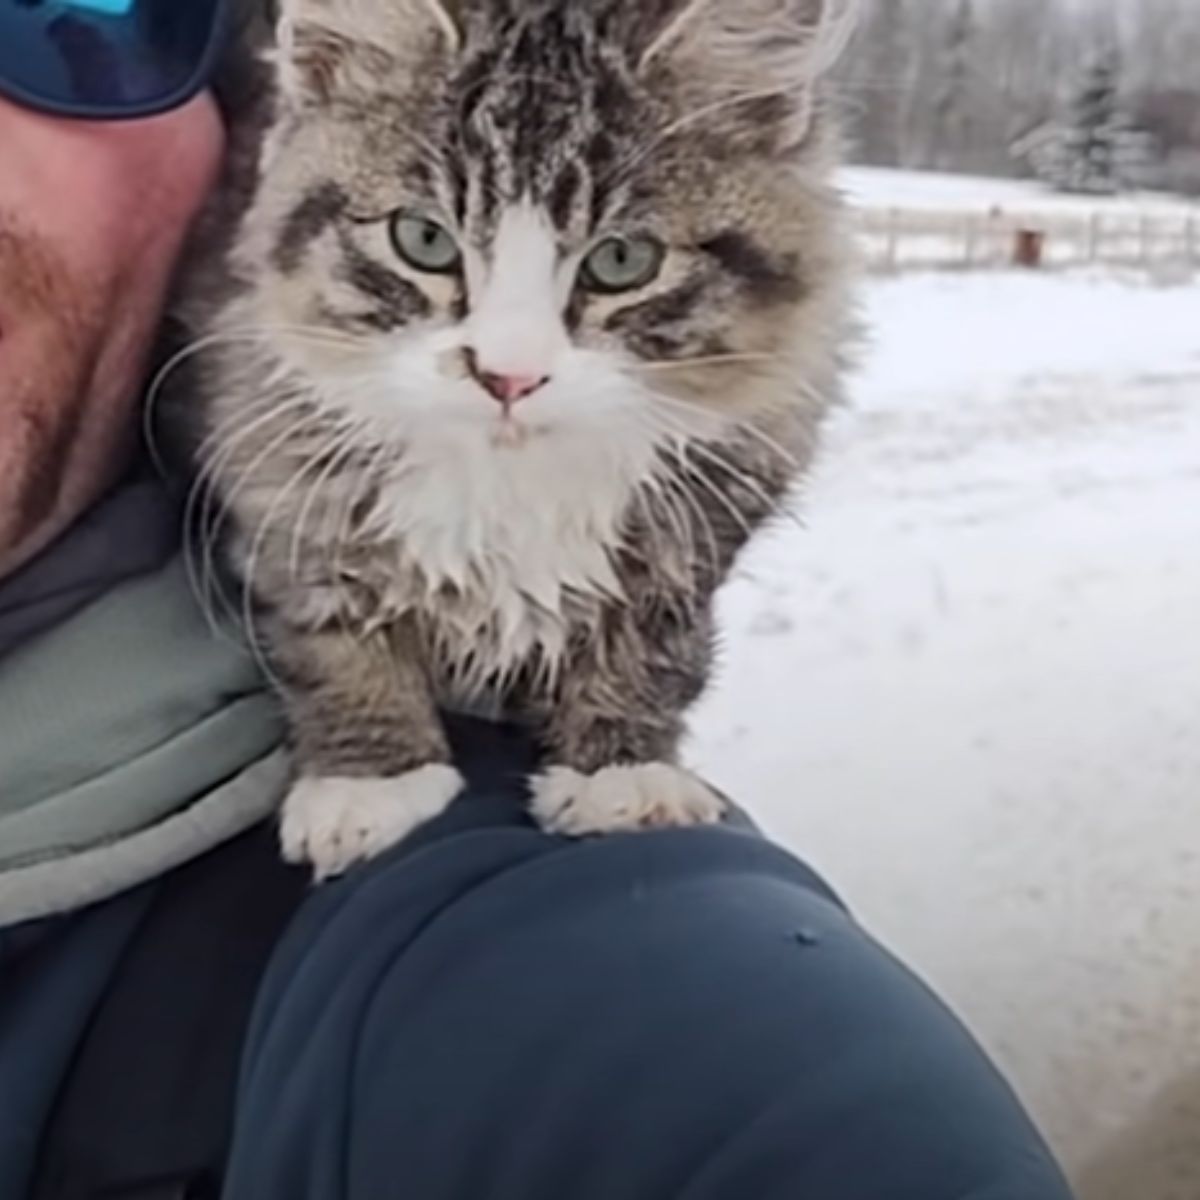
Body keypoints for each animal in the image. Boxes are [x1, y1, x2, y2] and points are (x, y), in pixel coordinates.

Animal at [175, 0, 854, 883]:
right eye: (424, 240)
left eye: (623, 260)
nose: (508, 376)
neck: (509, 485)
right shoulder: (284, 487)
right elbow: (331, 642)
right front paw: (373, 782)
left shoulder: (706, 515)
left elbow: (655, 647)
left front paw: (618, 771)